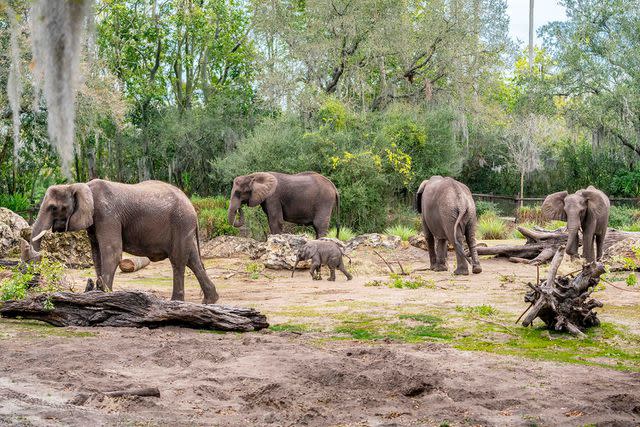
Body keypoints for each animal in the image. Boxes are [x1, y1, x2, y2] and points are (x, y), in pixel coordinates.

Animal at [28, 179, 219, 306]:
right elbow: (97, 254)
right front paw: (97, 293)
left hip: (181, 222)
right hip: (184, 227)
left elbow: (111, 252)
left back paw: (176, 302)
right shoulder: (95, 221)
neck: (81, 186)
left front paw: (105, 296)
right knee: (193, 260)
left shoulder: (107, 215)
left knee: (178, 260)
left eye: (53, 208)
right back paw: (209, 301)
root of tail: (192, 205)